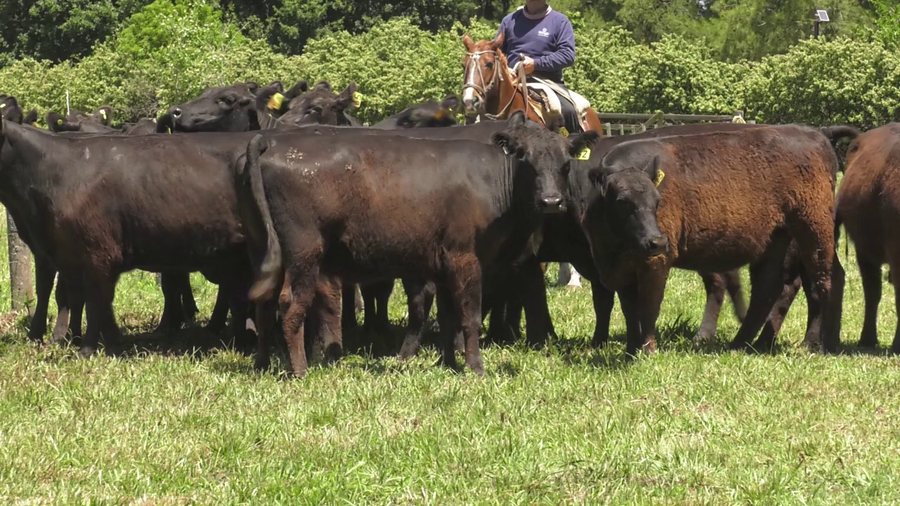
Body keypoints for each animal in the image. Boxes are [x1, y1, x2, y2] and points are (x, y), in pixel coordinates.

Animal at [236, 111, 601, 377]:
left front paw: (448, 364)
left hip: (266, 251)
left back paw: (263, 363)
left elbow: (448, 316)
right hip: (304, 252)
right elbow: (469, 316)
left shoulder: (443, 264)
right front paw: (476, 368)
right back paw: (299, 370)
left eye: (566, 162)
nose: (552, 201)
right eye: (526, 160)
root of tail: (271, 143)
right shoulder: (465, 259)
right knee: (291, 305)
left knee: (265, 304)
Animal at [580, 125, 846, 357]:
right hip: (776, 240)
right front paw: (630, 351)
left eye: (658, 200)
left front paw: (647, 352)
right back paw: (741, 344)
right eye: (621, 201)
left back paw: (828, 344)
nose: (656, 241)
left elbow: (647, 309)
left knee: (828, 277)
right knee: (768, 289)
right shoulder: (621, 272)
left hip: (813, 228)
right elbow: (630, 312)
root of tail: (817, 135)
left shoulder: (655, 263)